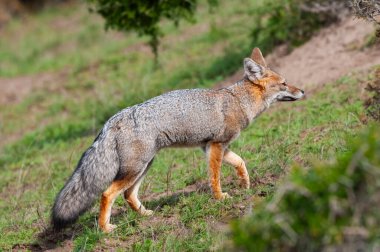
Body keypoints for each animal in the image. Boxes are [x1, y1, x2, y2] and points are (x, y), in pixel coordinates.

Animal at [52, 47, 304, 232]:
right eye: (284, 83)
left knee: (128, 195)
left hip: (144, 166)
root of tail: (113, 119)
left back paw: (146, 215)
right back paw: (106, 229)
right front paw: (220, 197)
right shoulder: (216, 146)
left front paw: (245, 184)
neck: (238, 100)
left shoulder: (212, 146)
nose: (302, 91)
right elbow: (215, 177)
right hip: (136, 168)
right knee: (107, 194)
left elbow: (241, 162)